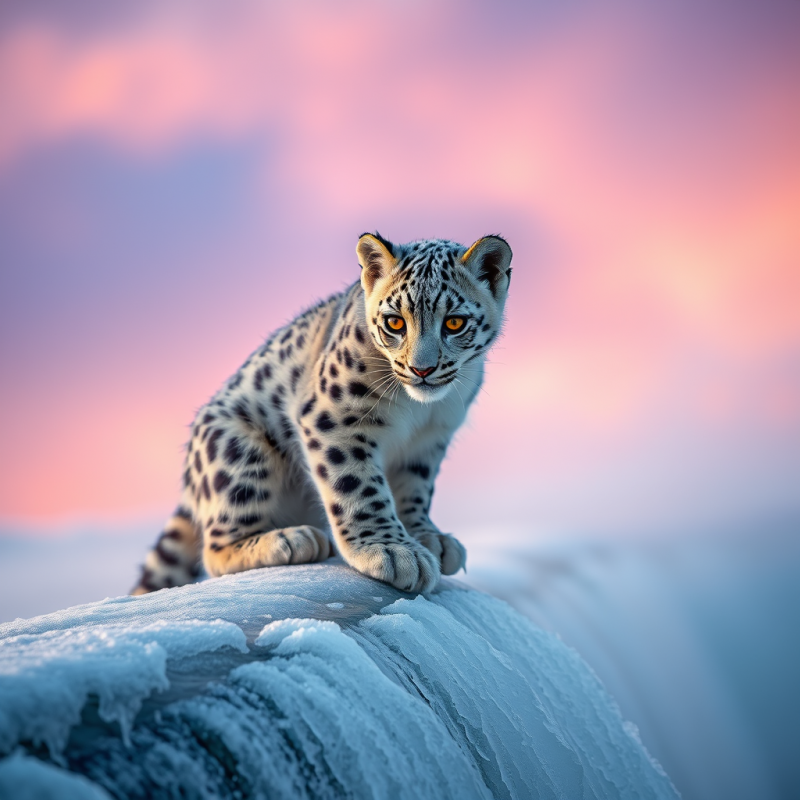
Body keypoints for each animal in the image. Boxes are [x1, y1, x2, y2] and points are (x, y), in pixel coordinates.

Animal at [131, 232, 513, 596]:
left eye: (454, 323)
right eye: (394, 322)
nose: (422, 369)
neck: (421, 411)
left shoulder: (428, 442)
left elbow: (415, 489)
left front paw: (427, 536)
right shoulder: (337, 417)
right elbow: (359, 485)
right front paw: (392, 551)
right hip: (237, 455)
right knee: (216, 547)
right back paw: (292, 539)